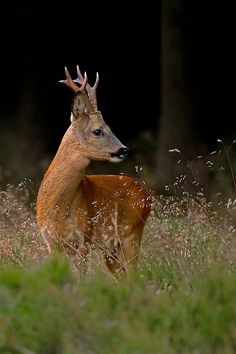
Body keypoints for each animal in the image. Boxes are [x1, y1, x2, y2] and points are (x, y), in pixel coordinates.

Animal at [36, 65, 151, 278]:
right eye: (97, 131)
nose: (123, 150)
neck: (58, 208)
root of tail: (147, 194)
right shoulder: (50, 241)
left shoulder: (84, 237)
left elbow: (82, 278)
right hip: (111, 248)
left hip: (132, 232)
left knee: (134, 274)